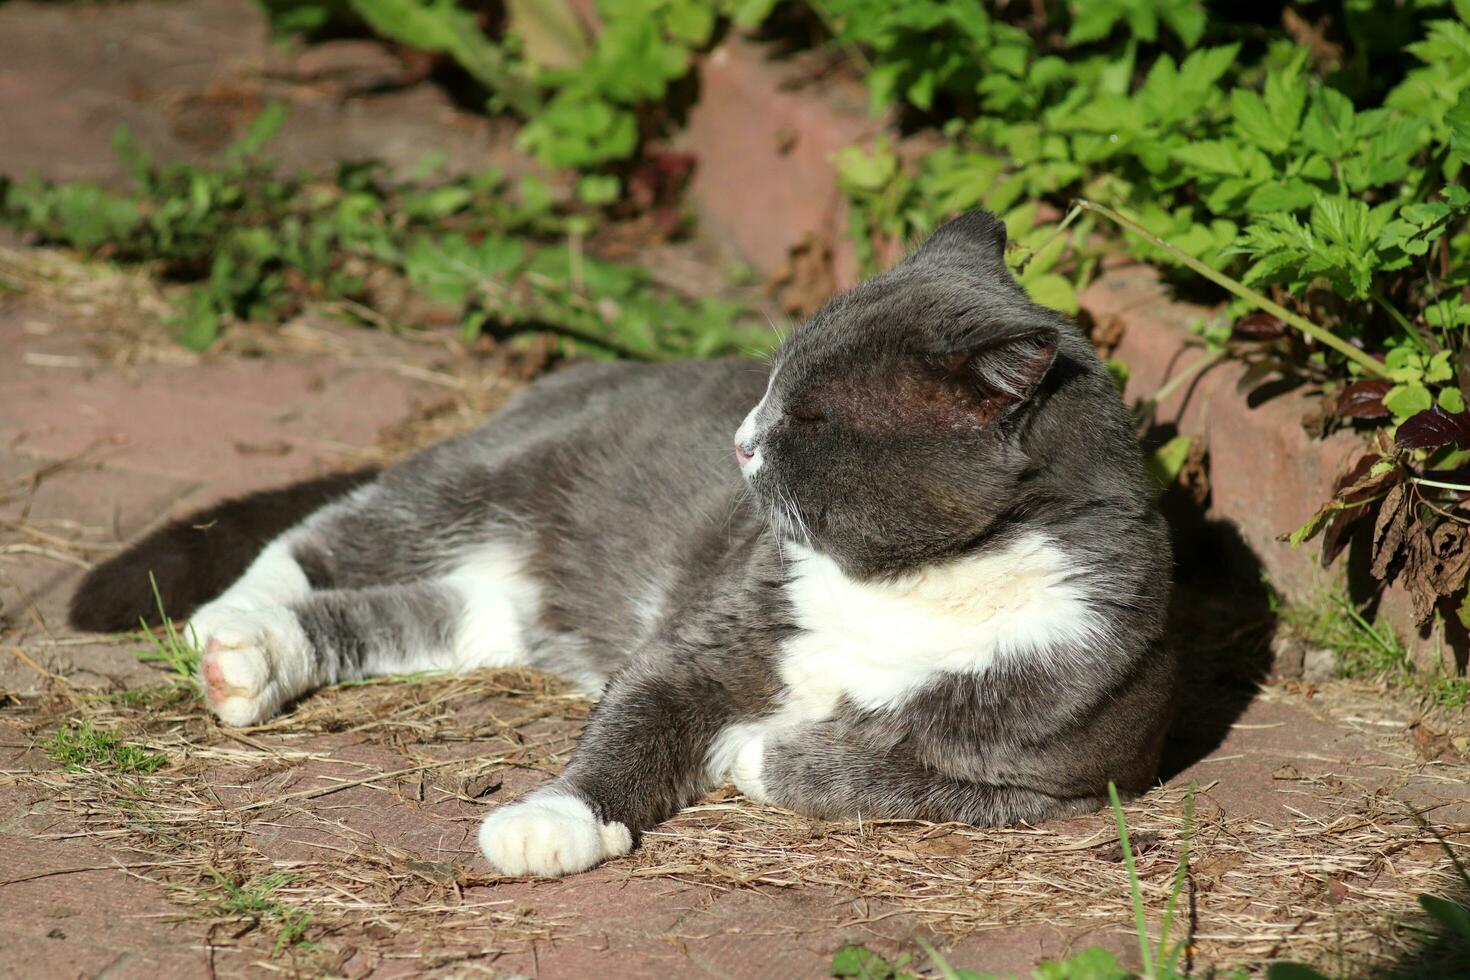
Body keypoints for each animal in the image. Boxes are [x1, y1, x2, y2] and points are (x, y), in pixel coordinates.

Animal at [69, 208, 1176, 881]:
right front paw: (552, 821)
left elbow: (892, 776)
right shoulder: (705, 640)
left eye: (812, 416)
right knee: (329, 535)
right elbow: (632, 723)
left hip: (495, 610)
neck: (906, 585)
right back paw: (232, 630)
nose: (739, 437)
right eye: (772, 381)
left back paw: (259, 662)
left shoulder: (1068, 774)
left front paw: (762, 749)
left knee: (403, 615)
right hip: (487, 476)